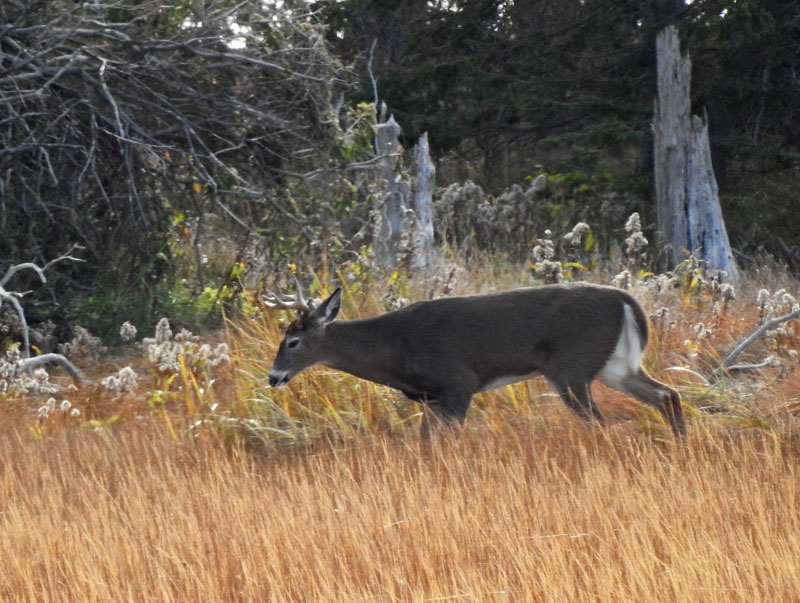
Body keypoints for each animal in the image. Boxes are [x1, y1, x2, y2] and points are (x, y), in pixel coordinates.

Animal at [265, 281, 685, 440]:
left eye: (293, 342)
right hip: (615, 365)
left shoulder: (458, 381)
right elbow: (426, 444)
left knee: (600, 422)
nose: (273, 377)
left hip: (571, 366)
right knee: (667, 394)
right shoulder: (431, 398)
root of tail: (625, 299)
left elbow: (453, 440)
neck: (394, 348)